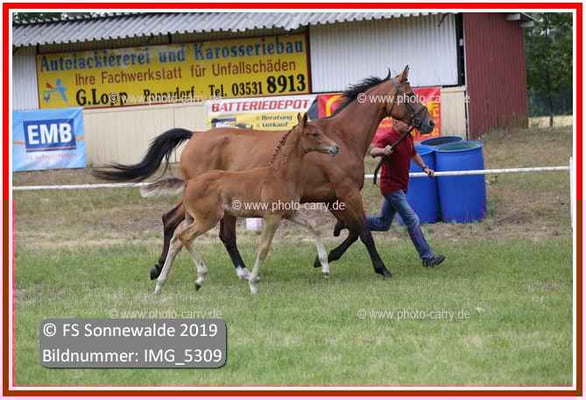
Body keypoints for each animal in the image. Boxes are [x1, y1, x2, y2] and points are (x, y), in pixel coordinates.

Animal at [148, 113, 339, 295]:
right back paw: (200, 277)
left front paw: (325, 267)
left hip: (192, 218)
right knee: (184, 237)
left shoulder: (290, 212)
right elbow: (263, 247)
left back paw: (160, 284)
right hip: (207, 219)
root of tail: (189, 183)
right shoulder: (272, 217)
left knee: (176, 241)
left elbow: (313, 226)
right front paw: (253, 284)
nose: (335, 147)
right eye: (314, 134)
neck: (280, 175)